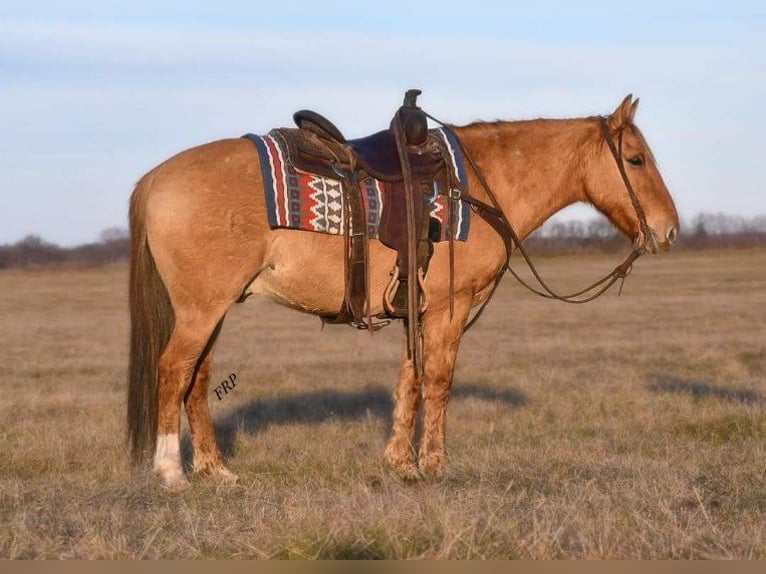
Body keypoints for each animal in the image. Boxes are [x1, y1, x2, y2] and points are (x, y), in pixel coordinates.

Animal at [127, 94, 684, 490]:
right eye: (636, 159)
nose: (669, 230)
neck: (478, 186)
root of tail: (154, 178)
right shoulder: (449, 309)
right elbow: (438, 381)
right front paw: (434, 465)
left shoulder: (417, 308)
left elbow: (409, 381)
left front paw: (400, 463)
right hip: (201, 310)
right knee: (172, 371)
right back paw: (171, 472)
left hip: (215, 309)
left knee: (198, 379)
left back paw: (215, 470)